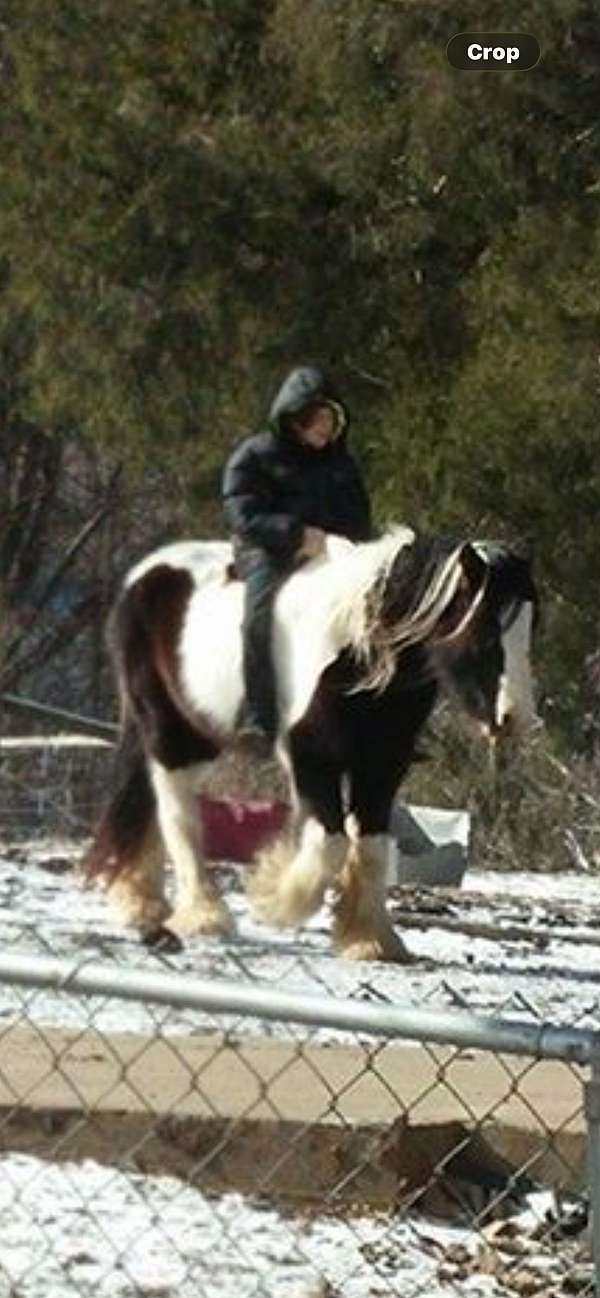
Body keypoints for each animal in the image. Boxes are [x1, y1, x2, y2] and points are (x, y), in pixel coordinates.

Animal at [83, 528, 538, 962]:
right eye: (486, 635)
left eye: (528, 634)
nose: (515, 719)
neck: (357, 653)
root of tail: (145, 573)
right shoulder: (311, 757)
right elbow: (331, 843)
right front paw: (274, 898)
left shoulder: (382, 764)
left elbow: (371, 847)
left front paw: (371, 940)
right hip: (170, 731)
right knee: (178, 815)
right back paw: (204, 915)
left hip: (195, 735)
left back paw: (143, 903)